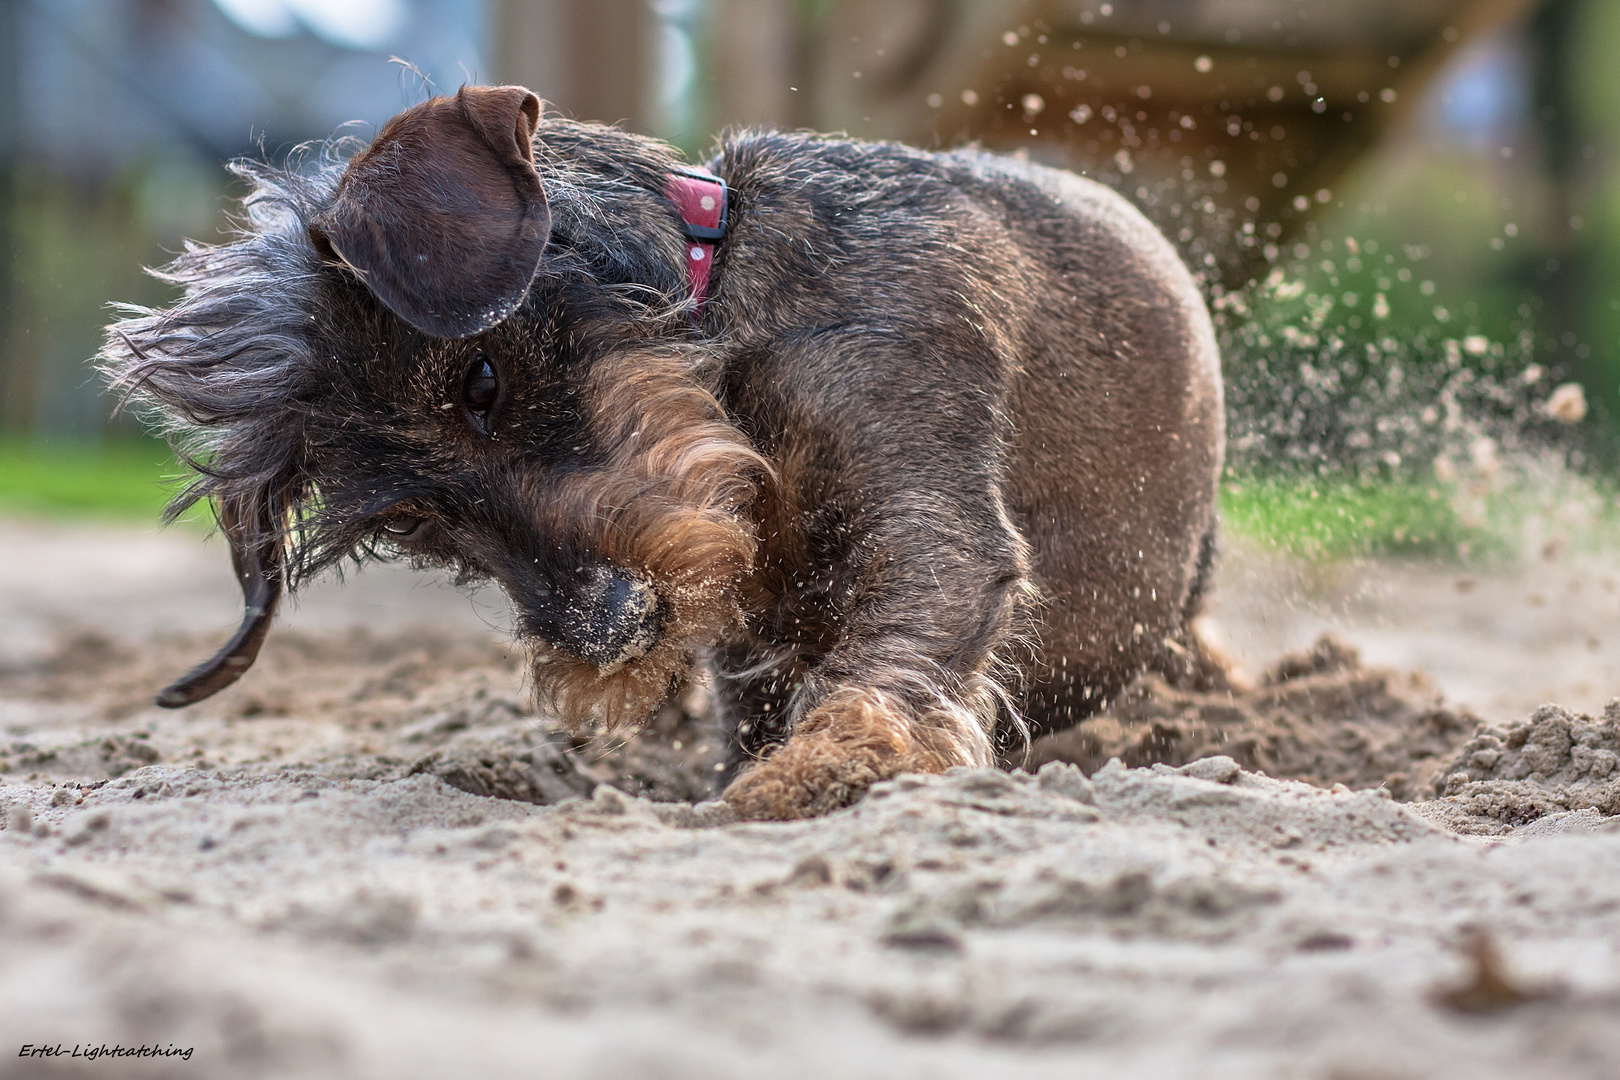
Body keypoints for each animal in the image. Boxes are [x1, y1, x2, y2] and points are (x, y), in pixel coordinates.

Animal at [101, 86, 1218, 819]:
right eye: (416, 522)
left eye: (482, 382)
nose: (611, 631)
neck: (735, 312)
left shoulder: (921, 471)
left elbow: (903, 640)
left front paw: (816, 775)